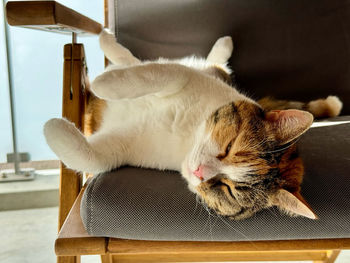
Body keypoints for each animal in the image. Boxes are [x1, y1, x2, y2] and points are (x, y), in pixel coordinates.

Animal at [43, 28, 342, 221]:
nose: (199, 172)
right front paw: (107, 85)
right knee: (150, 62)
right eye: (229, 147)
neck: (187, 134)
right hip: (204, 71)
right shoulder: (184, 77)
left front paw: (53, 127)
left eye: (227, 190)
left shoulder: (124, 148)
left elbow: (92, 157)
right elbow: (156, 73)